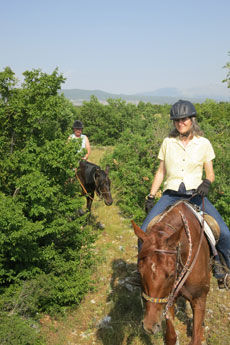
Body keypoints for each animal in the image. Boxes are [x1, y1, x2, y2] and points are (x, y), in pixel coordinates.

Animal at [132, 200, 211, 344]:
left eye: (171, 275)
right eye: (140, 272)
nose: (149, 327)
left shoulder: (200, 299)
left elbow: (195, 337)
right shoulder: (169, 298)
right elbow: (171, 336)